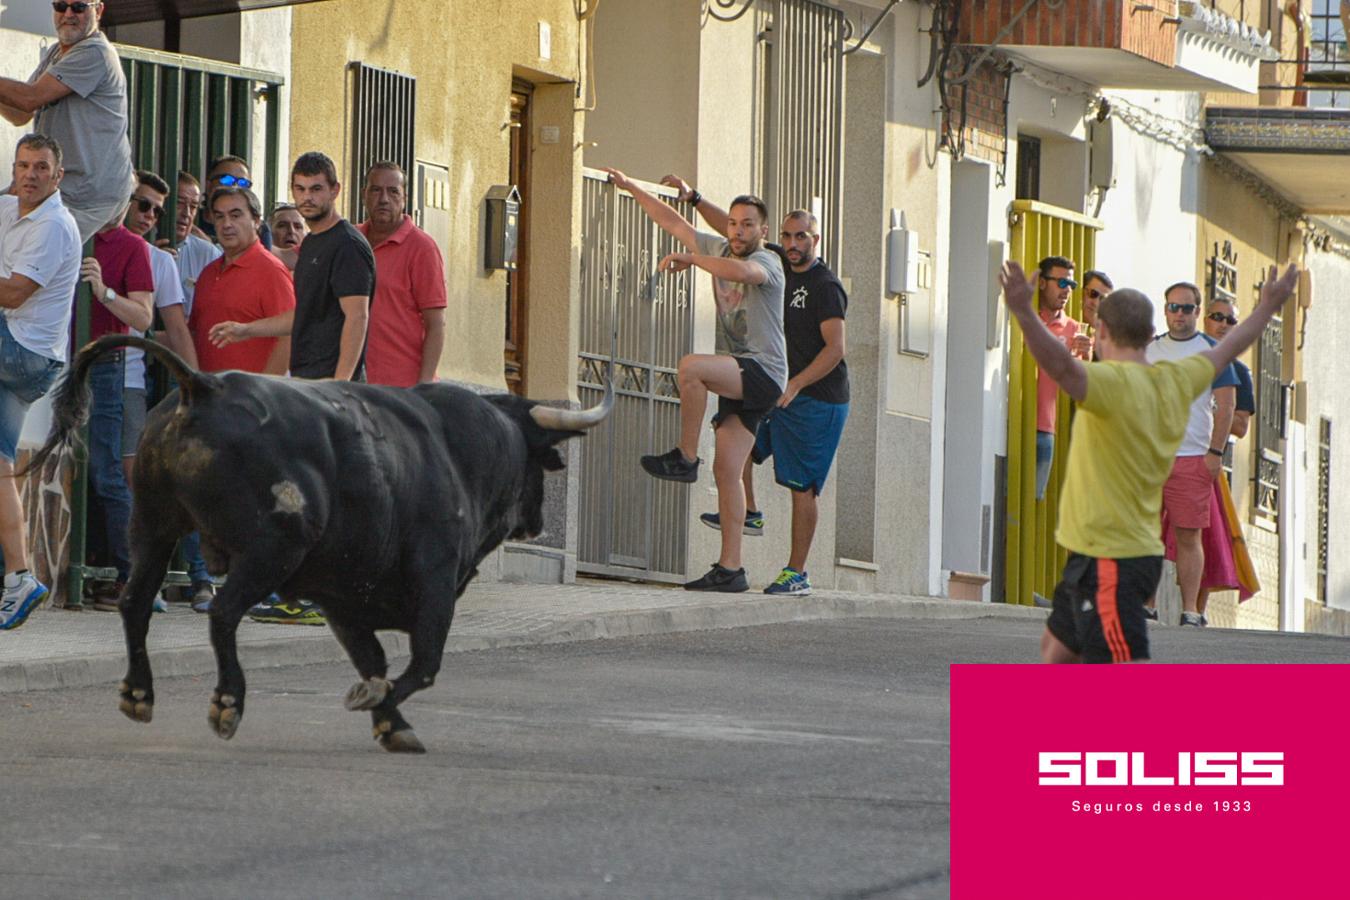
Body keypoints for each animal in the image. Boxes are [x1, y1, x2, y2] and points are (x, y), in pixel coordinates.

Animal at [27, 335, 612, 755]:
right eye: (543, 461)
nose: (537, 520)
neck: (461, 452)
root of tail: (203, 385)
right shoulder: (436, 581)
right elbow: (421, 664)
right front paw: (377, 705)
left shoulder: (342, 598)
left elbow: (375, 659)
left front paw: (391, 722)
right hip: (272, 547)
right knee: (223, 612)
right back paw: (228, 703)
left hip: (153, 527)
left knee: (135, 604)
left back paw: (138, 694)